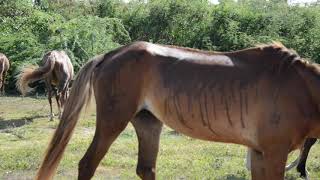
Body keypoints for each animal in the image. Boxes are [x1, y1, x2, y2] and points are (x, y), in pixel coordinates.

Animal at [35, 41, 320, 179]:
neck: (303, 89)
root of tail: (109, 54)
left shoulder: (260, 153)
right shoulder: (273, 153)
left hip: (148, 123)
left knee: (146, 169)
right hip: (112, 122)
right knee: (86, 165)